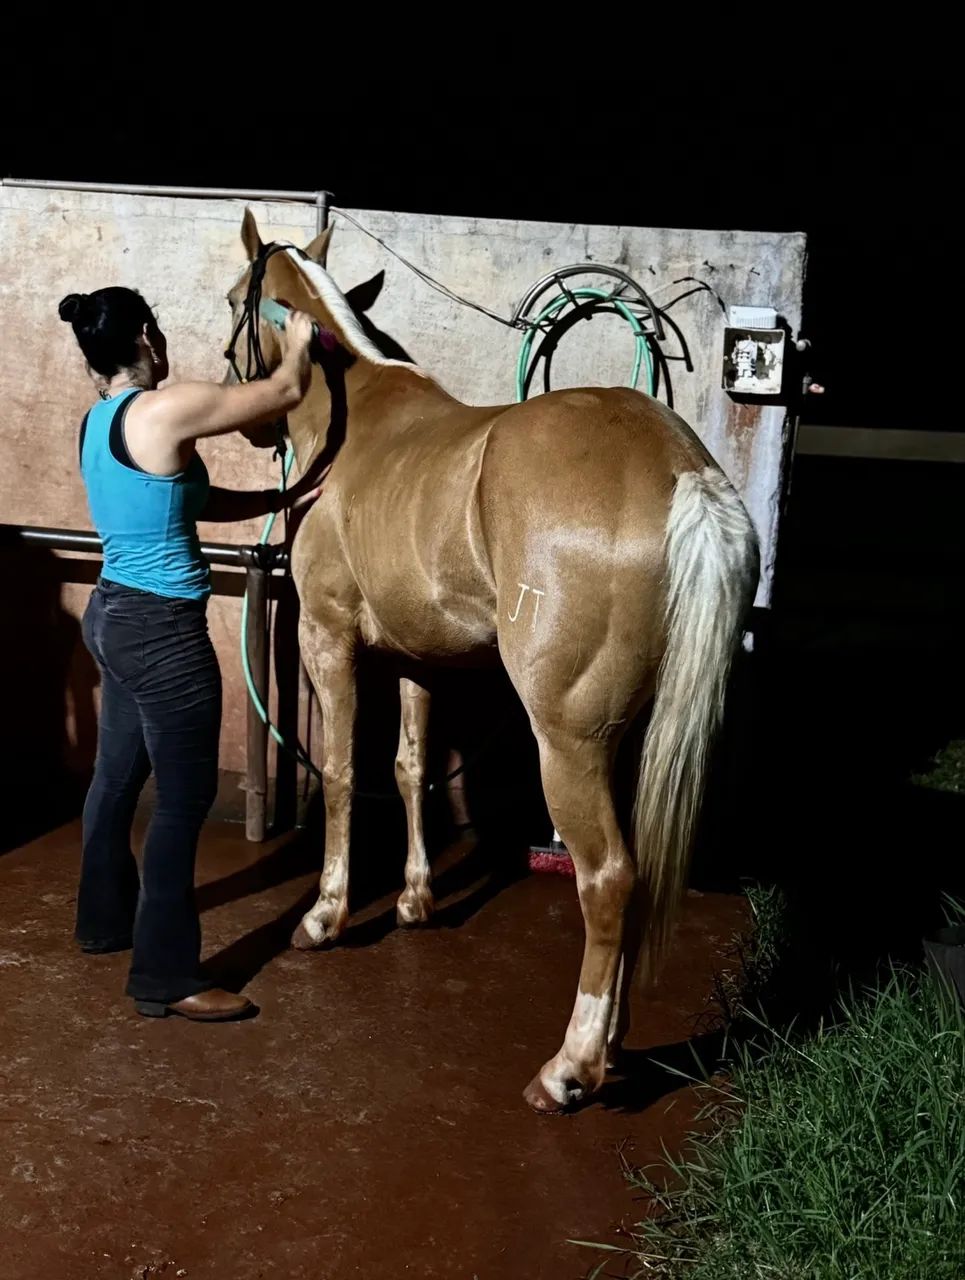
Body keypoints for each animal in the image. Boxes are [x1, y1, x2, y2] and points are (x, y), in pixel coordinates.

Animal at [224, 210, 759, 1113]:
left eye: (233, 301)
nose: (243, 420)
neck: (356, 434)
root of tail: (682, 472)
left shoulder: (327, 639)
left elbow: (339, 772)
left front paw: (325, 916)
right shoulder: (418, 660)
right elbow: (408, 770)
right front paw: (413, 900)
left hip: (569, 741)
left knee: (607, 878)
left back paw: (569, 1069)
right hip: (630, 736)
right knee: (639, 873)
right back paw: (610, 1046)